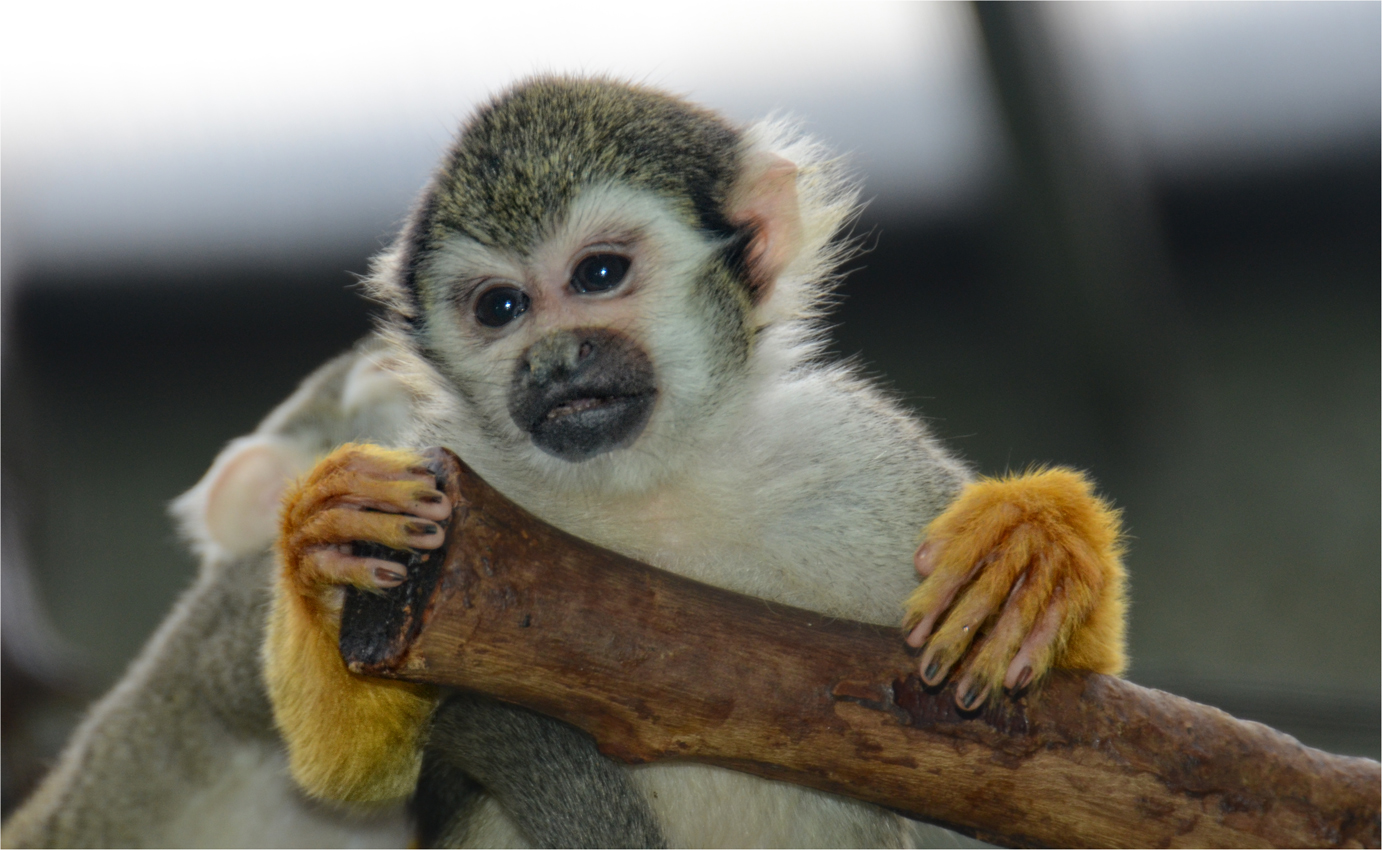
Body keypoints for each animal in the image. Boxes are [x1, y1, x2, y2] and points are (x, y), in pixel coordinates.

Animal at [263, 76, 1127, 845]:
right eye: (500, 308)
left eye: (599, 273)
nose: (553, 361)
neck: (648, 486)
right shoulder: (453, 478)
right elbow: (357, 782)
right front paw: (326, 543)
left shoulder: (854, 461)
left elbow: (1073, 735)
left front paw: (1036, 545)